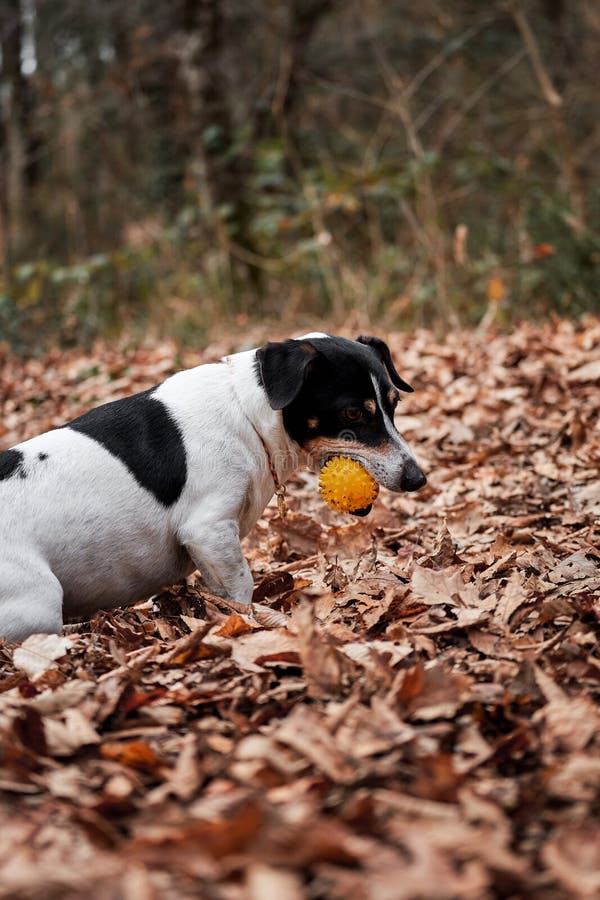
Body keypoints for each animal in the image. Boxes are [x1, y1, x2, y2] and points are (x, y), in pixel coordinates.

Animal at [0, 334, 426, 644]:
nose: (417, 479)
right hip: (39, 601)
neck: (247, 413)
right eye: (353, 412)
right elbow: (241, 587)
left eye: (394, 404)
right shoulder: (208, 529)